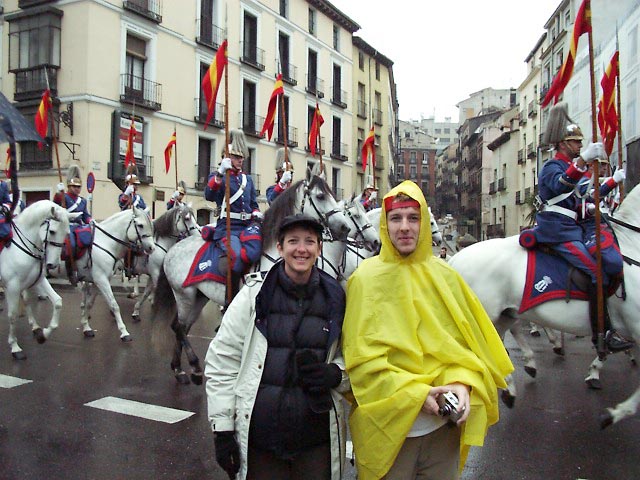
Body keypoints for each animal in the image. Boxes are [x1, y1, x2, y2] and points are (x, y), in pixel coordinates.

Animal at [0, 200, 78, 360]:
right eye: (52, 231)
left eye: (67, 233)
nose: (52, 265)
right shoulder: (12, 287)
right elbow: (12, 315)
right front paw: (15, 347)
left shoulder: (38, 281)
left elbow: (57, 302)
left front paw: (43, 334)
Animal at [73, 206, 155, 342]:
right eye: (140, 225)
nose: (151, 248)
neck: (105, 242)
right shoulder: (101, 279)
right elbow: (114, 304)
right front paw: (124, 332)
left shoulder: (98, 279)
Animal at [151, 174, 350, 384]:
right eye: (320, 196)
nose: (344, 227)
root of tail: (173, 249)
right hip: (184, 295)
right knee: (179, 327)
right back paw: (194, 367)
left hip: (199, 296)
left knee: (182, 327)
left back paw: (178, 367)